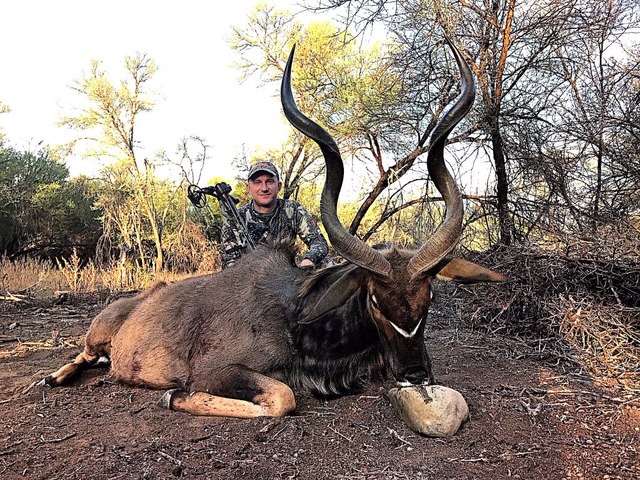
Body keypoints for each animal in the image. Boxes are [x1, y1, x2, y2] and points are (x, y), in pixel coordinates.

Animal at [39, 38, 505, 418]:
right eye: (374, 299)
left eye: (429, 297)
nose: (416, 374)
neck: (296, 317)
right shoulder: (218, 370)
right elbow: (282, 397)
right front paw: (173, 395)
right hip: (96, 337)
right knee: (83, 355)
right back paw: (52, 377)